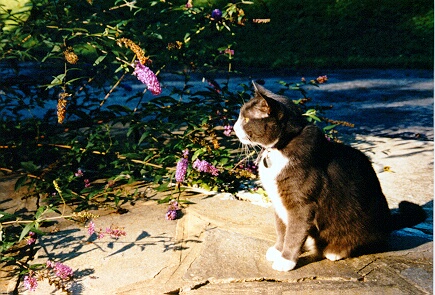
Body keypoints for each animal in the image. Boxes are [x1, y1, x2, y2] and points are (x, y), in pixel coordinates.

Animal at [233, 81, 428, 272]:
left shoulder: (301, 205)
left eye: (247, 119)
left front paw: (286, 260)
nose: (234, 127)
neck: (280, 148)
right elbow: (282, 229)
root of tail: (388, 220)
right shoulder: (278, 202)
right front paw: (278, 250)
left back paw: (336, 251)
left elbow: (293, 233)